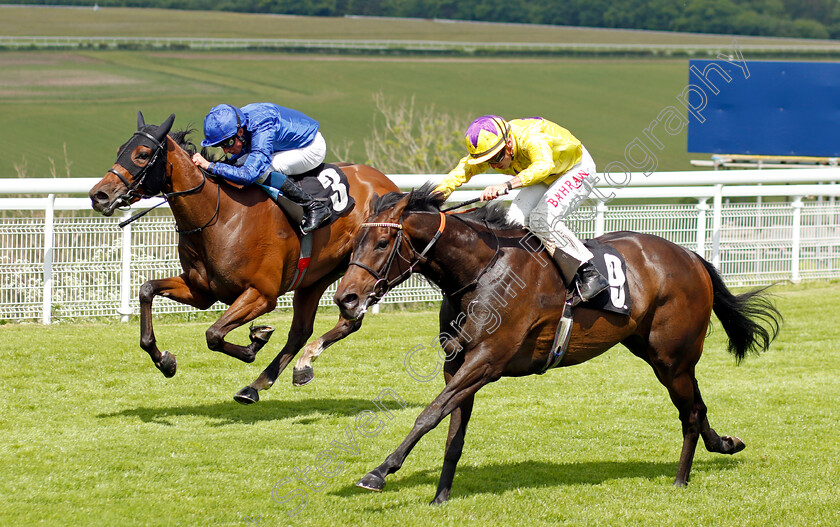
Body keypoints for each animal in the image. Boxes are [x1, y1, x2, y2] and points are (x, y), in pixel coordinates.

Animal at [88, 112, 400, 404]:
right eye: (120, 149)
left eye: (142, 154)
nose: (98, 195)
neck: (220, 216)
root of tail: (388, 182)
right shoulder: (200, 291)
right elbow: (146, 290)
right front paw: (164, 360)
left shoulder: (261, 294)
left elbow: (214, 335)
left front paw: (254, 343)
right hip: (316, 277)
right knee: (301, 331)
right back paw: (262, 383)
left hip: (361, 268)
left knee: (348, 319)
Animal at [334, 186, 780, 504]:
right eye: (353, 243)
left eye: (380, 244)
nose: (346, 299)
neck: (482, 270)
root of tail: (690, 255)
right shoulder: (457, 363)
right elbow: (453, 430)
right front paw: (441, 496)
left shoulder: (487, 361)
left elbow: (428, 415)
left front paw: (378, 472)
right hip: (660, 355)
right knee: (697, 406)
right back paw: (724, 444)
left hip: (672, 356)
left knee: (689, 413)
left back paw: (681, 479)